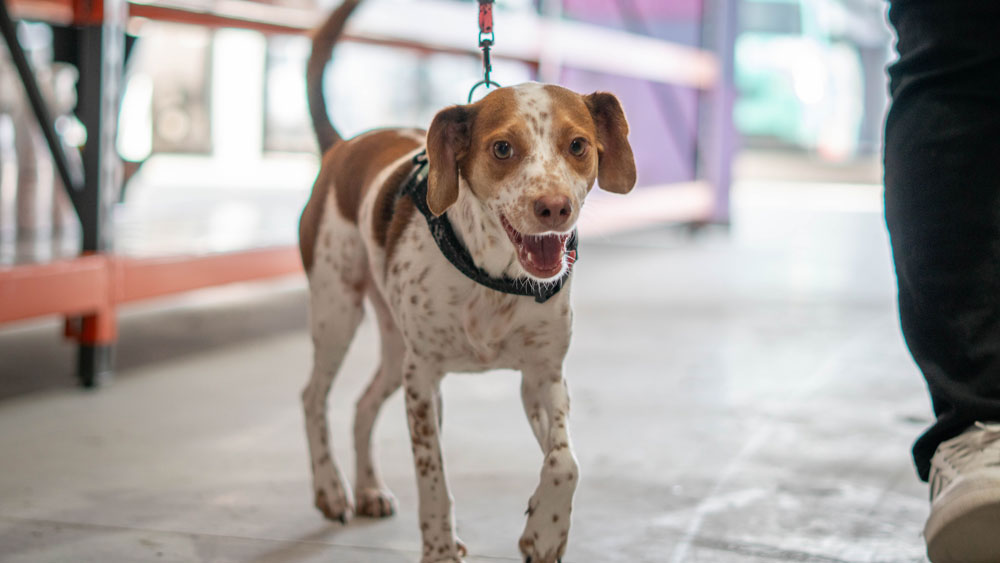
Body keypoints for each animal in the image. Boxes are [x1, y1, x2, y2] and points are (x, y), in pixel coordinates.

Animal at [296, 2, 636, 560]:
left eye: (578, 145)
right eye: (502, 148)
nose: (554, 208)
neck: (494, 277)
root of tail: (344, 145)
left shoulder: (543, 376)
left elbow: (565, 462)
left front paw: (547, 530)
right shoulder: (423, 381)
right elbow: (432, 477)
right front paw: (438, 546)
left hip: (395, 347)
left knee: (362, 405)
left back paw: (368, 489)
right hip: (337, 314)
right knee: (313, 398)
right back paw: (330, 488)